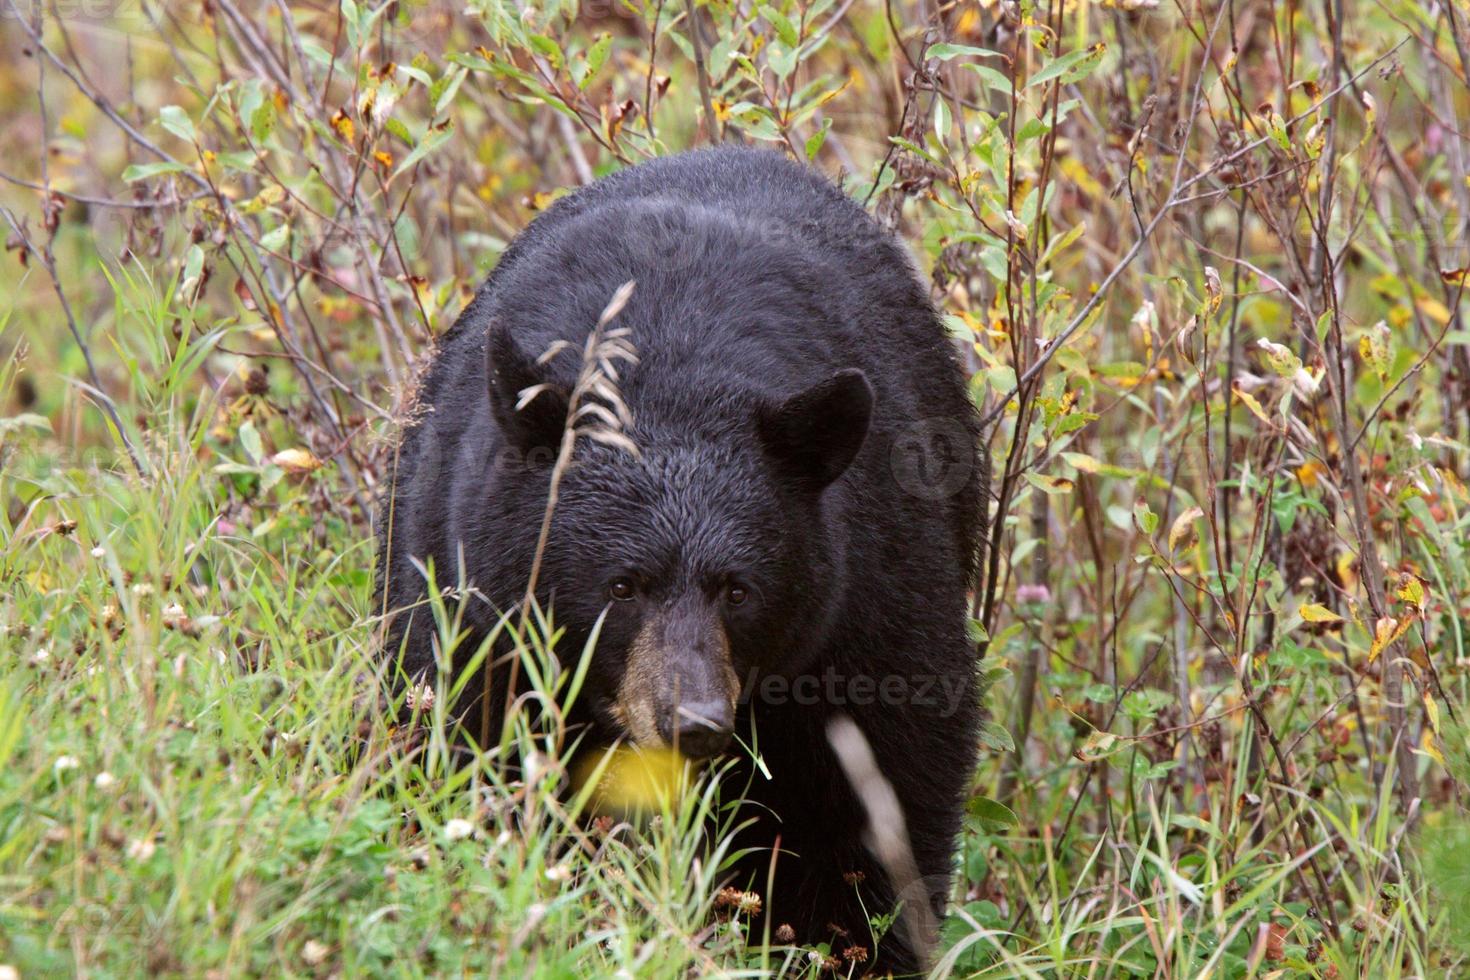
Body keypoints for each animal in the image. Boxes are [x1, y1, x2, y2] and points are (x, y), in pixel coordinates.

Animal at [373, 145, 981, 975]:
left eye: (739, 590)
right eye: (622, 585)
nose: (692, 720)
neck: (671, 368)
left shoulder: (870, 591)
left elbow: (878, 794)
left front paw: (847, 943)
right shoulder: (472, 604)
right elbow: (469, 746)